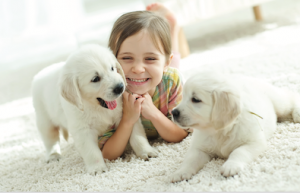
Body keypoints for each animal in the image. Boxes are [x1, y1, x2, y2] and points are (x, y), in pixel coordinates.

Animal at [33, 44, 158, 174]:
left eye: (112, 68)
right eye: (95, 79)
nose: (120, 87)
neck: (96, 107)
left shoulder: (127, 114)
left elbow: (137, 136)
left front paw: (147, 151)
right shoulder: (83, 129)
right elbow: (91, 151)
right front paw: (97, 168)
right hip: (44, 119)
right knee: (50, 139)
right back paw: (53, 155)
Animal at [171, 70, 300, 182]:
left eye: (196, 99)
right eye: (183, 97)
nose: (173, 112)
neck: (219, 130)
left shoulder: (253, 142)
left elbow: (239, 151)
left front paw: (231, 166)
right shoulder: (200, 148)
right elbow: (191, 159)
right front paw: (181, 172)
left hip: (279, 103)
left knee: (291, 97)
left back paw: (297, 113)